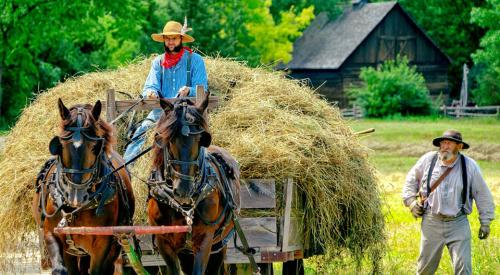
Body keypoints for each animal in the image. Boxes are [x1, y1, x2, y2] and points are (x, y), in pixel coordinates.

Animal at [32, 99, 136, 275]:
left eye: (95, 146)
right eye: (61, 144)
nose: (76, 196)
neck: (74, 210)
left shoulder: (103, 244)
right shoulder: (51, 234)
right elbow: (60, 269)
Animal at [146, 91, 240, 274]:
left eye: (201, 139)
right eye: (169, 139)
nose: (183, 191)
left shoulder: (205, 241)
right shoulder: (164, 243)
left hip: (219, 244)